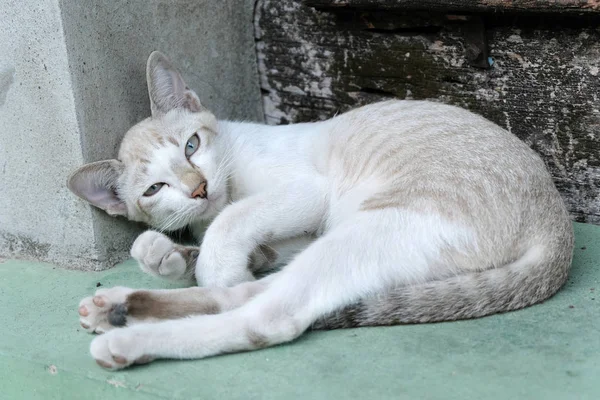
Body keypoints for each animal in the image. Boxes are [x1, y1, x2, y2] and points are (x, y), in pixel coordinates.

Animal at [67, 51, 572, 370]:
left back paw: (127, 337)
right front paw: (168, 254)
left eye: (191, 146)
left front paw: (209, 260)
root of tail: (558, 223)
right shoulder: (290, 240)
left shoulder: (307, 192)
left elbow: (231, 227)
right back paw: (117, 307)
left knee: (267, 317)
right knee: (257, 294)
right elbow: (225, 250)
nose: (199, 189)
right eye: (155, 188)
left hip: (372, 227)